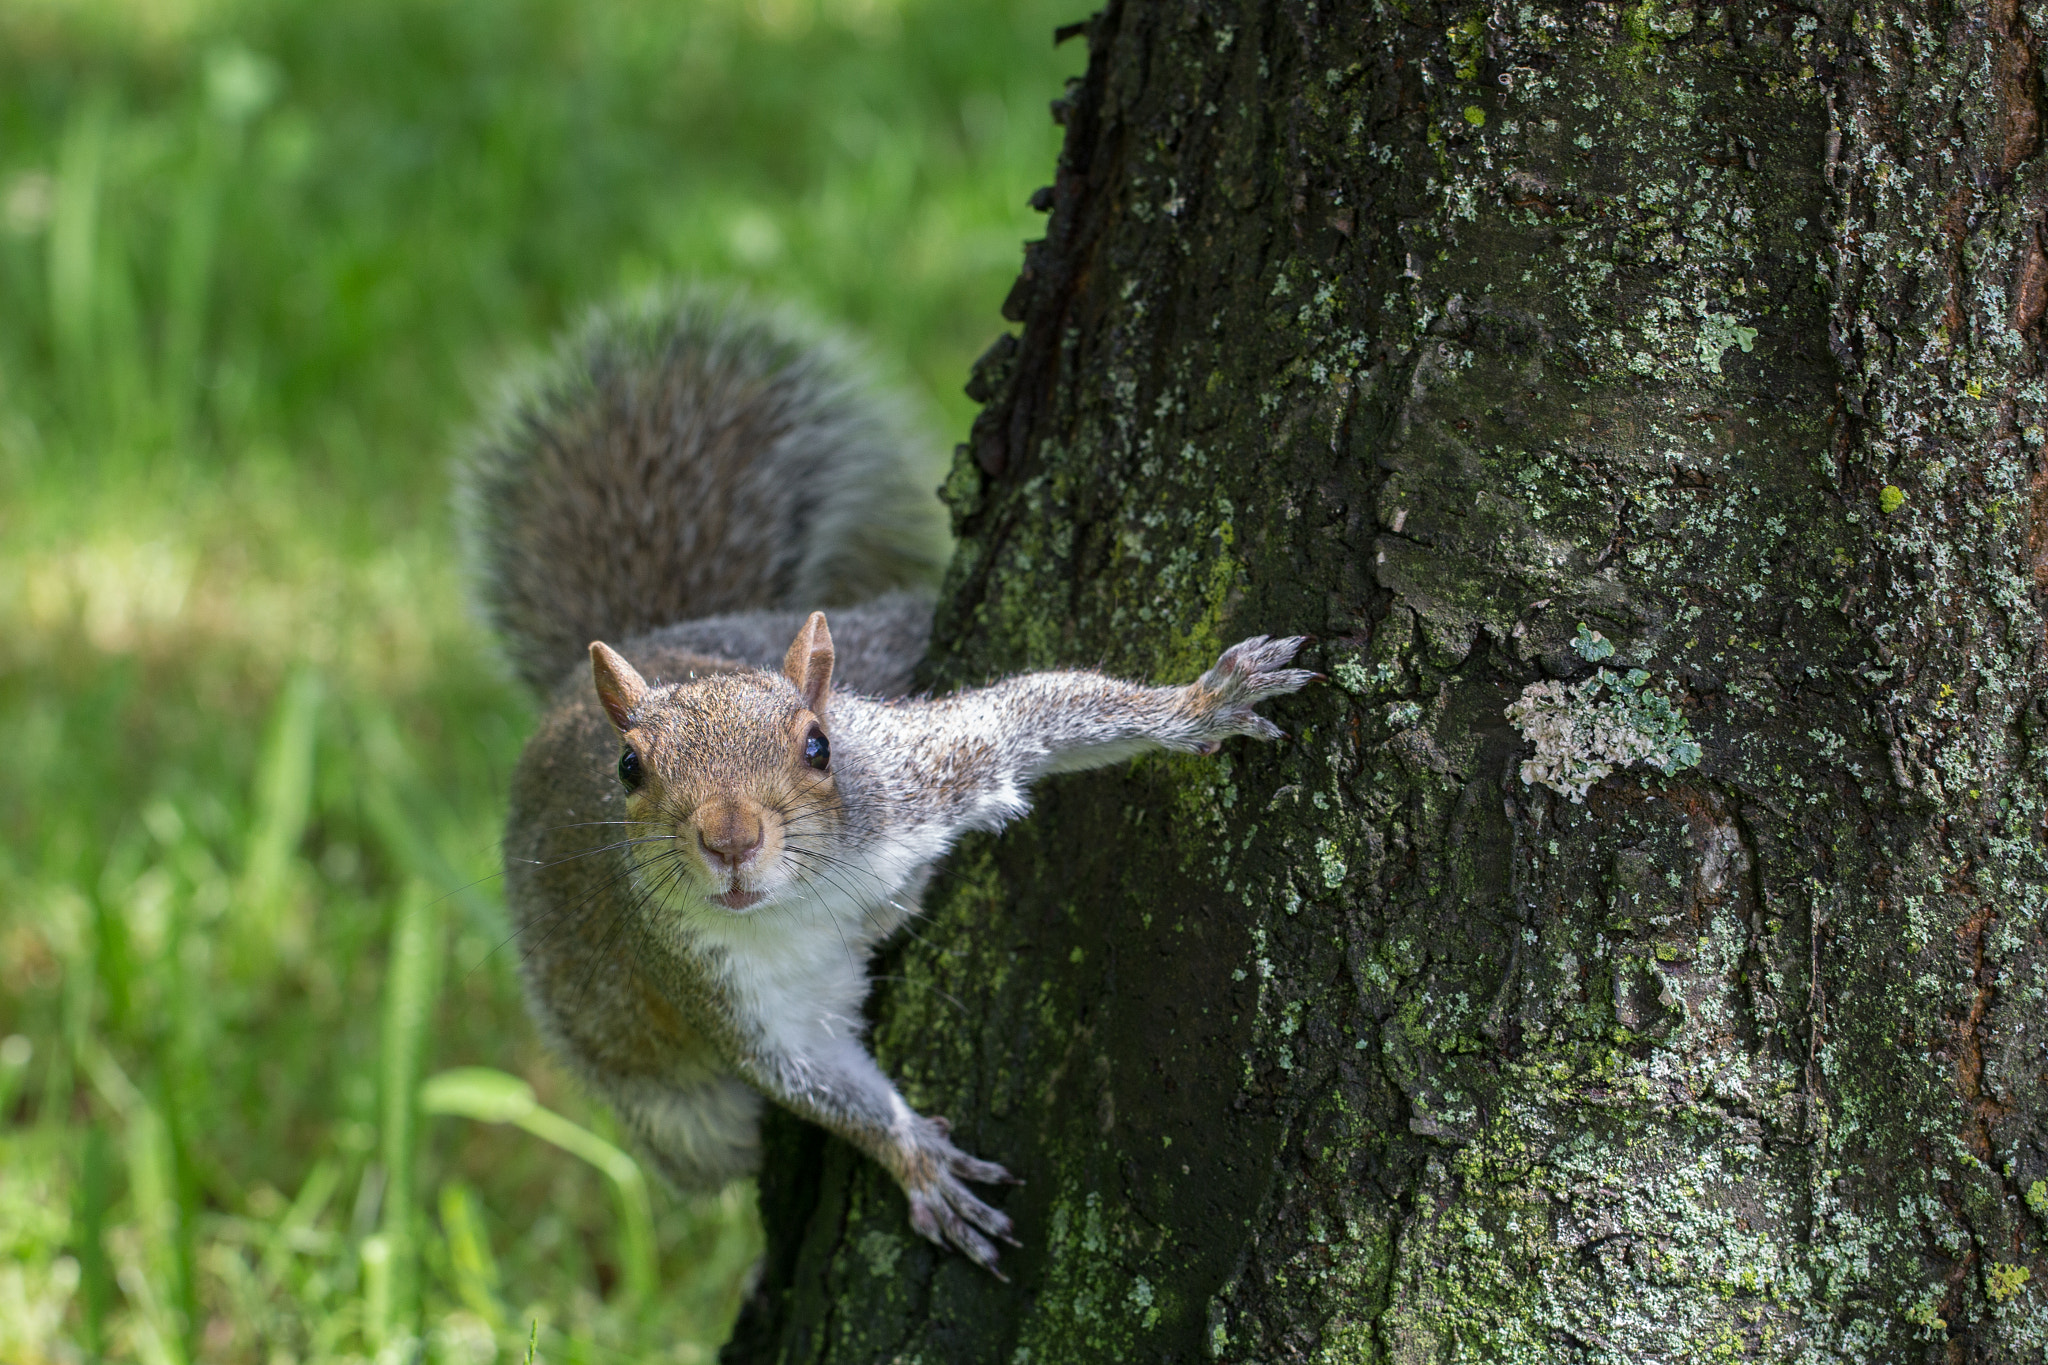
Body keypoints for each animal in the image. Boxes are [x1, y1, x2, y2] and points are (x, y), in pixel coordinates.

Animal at [458, 290, 1318, 1285]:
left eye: (819, 745)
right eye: (629, 768)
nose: (729, 839)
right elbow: (824, 1091)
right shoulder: (724, 995)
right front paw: (918, 1159)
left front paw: (1201, 704)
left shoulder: (921, 773)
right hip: (672, 1108)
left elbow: (1029, 714)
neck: (805, 896)